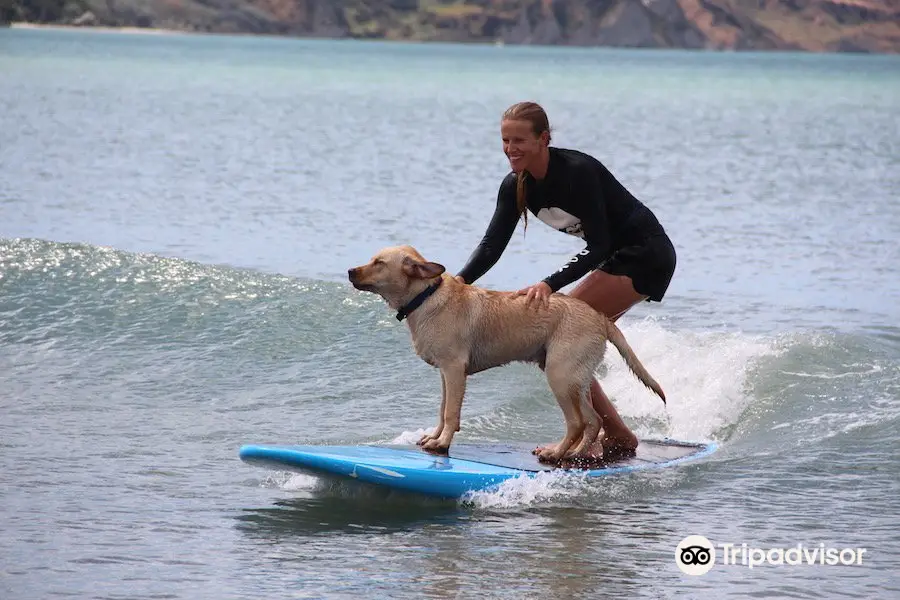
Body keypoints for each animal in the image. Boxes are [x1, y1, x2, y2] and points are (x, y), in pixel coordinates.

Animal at [348, 244, 664, 464]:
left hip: (559, 376)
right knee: (593, 421)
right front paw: (435, 437)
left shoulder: (454, 369)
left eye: (378, 263)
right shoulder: (445, 375)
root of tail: (599, 318)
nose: (350, 271)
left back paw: (556, 453)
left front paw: (443, 443)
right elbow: (441, 409)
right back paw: (571, 454)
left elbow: (450, 412)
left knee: (577, 422)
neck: (425, 297)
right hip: (576, 380)